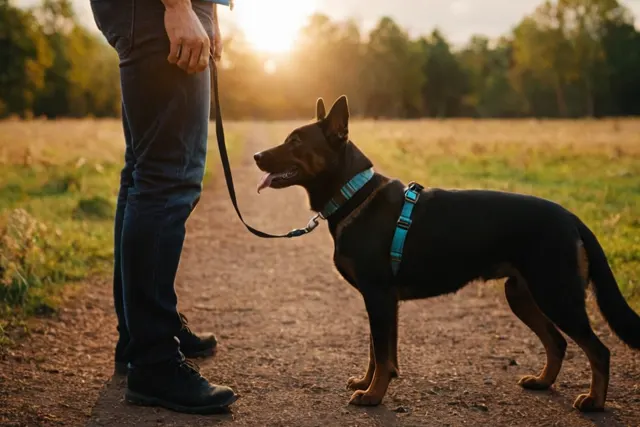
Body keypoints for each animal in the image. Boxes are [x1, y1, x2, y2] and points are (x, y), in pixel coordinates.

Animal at [254, 96, 640, 412]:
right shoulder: (380, 300)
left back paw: (594, 402)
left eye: (295, 141)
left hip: (556, 294)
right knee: (557, 342)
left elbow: (382, 354)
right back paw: (543, 382)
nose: (256, 156)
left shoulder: (378, 296)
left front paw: (373, 396)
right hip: (521, 294)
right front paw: (367, 384)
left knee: (598, 350)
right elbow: (377, 352)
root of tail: (572, 218)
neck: (354, 193)